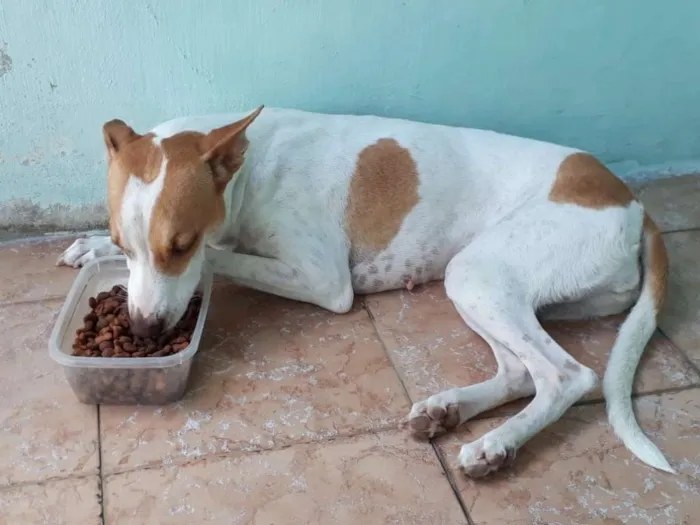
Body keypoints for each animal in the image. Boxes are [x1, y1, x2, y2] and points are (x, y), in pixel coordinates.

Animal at [58, 104, 672, 476]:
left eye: (180, 245)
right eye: (126, 242)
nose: (142, 331)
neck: (251, 168)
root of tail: (631, 201)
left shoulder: (324, 279)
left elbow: (221, 257)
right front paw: (93, 246)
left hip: (479, 274)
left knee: (568, 375)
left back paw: (497, 444)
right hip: (488, 289)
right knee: (523, 372)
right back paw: (450, 411)